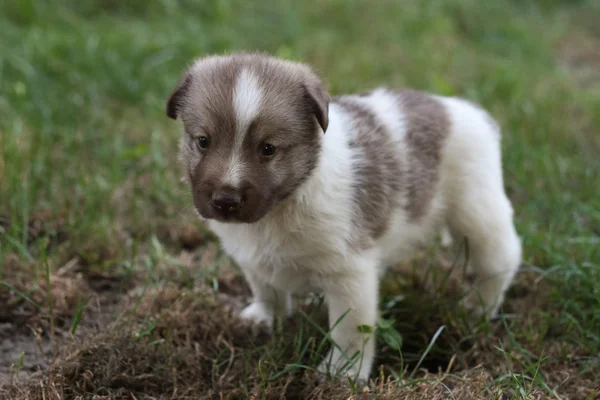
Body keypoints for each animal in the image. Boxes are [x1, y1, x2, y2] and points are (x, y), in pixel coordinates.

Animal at [166, 53, 524, 382]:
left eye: (268, 149)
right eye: (203, 141)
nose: (225, 200)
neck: (282, 207)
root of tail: (461, 109)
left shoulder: (349, 273)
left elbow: (350, 331)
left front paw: (342, 373)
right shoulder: (254, 260)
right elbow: (266, 290)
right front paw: (265, 320)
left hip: (477, 213)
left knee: (501, 258)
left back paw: (479, 306)